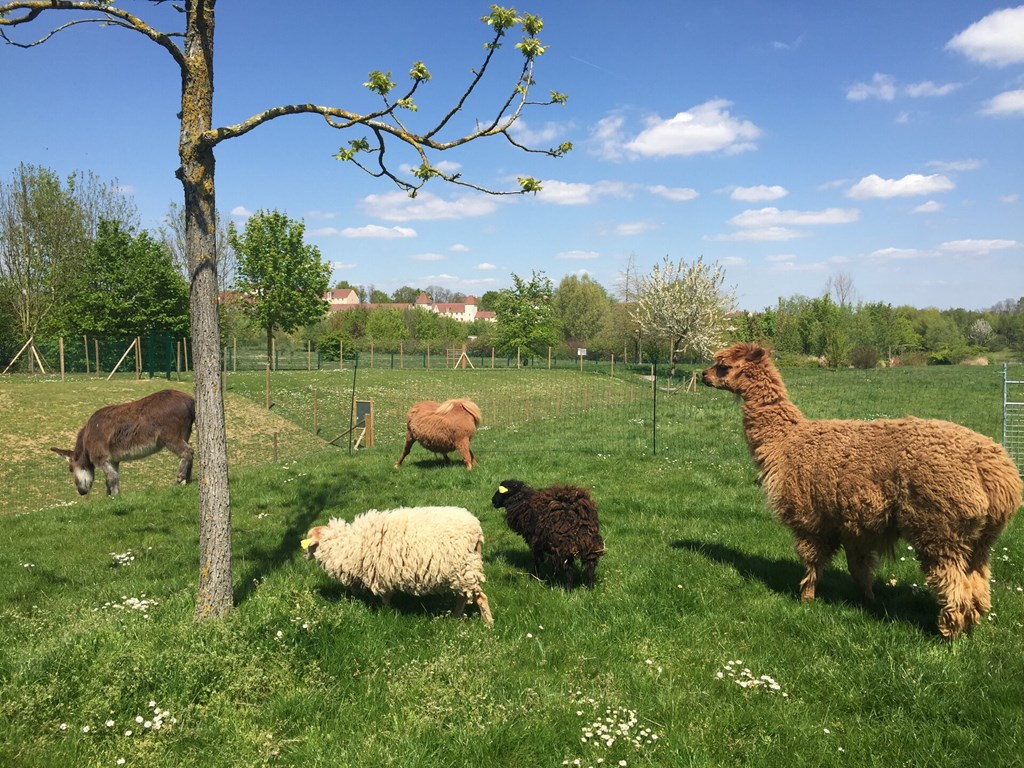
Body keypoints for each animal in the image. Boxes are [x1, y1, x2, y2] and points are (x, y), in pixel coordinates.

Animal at [301, 507, 493, 626]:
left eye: (310, 543)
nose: (303, 556)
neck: (349, 544)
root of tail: (476, 530)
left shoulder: (380, 575)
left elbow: (385, 598)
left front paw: (385, 614)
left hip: (464, 568)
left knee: (480, 598)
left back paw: (488, 625)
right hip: (461, 572)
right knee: (463, 597)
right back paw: (455, 617)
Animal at [704, 346, 1024, 638]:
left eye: (723, 366)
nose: (704, 376)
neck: (785, 442)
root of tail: (997, 472)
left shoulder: (811, 519)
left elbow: (814, 563)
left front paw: (806, 599)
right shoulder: (852, 524)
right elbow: (859, 569)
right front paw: (869, 600)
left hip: (940, 527)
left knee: (954, 583)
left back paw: (948, 632)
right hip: (979, 538)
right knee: (978, 583)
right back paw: (971, 624)